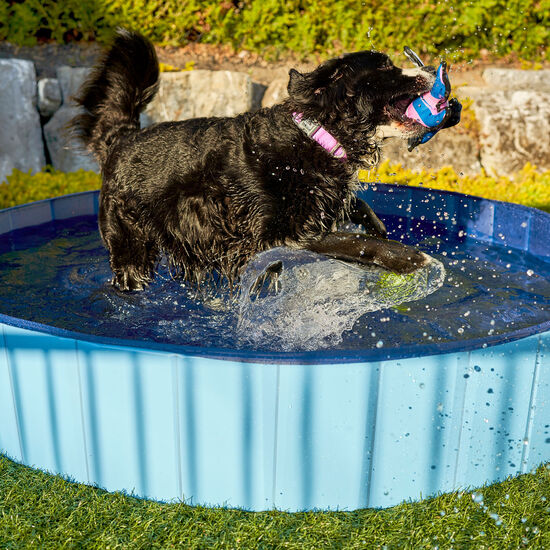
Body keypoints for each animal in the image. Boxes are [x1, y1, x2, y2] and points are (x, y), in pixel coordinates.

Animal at [71, 29, 446, 294]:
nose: (431, 68)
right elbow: (352, 242)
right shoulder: (278, 237)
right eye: (384, 66)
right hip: (131, 248)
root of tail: (123, 137)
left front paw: (377, 225)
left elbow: (357, 213)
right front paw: (408, 257)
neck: (317, 135)